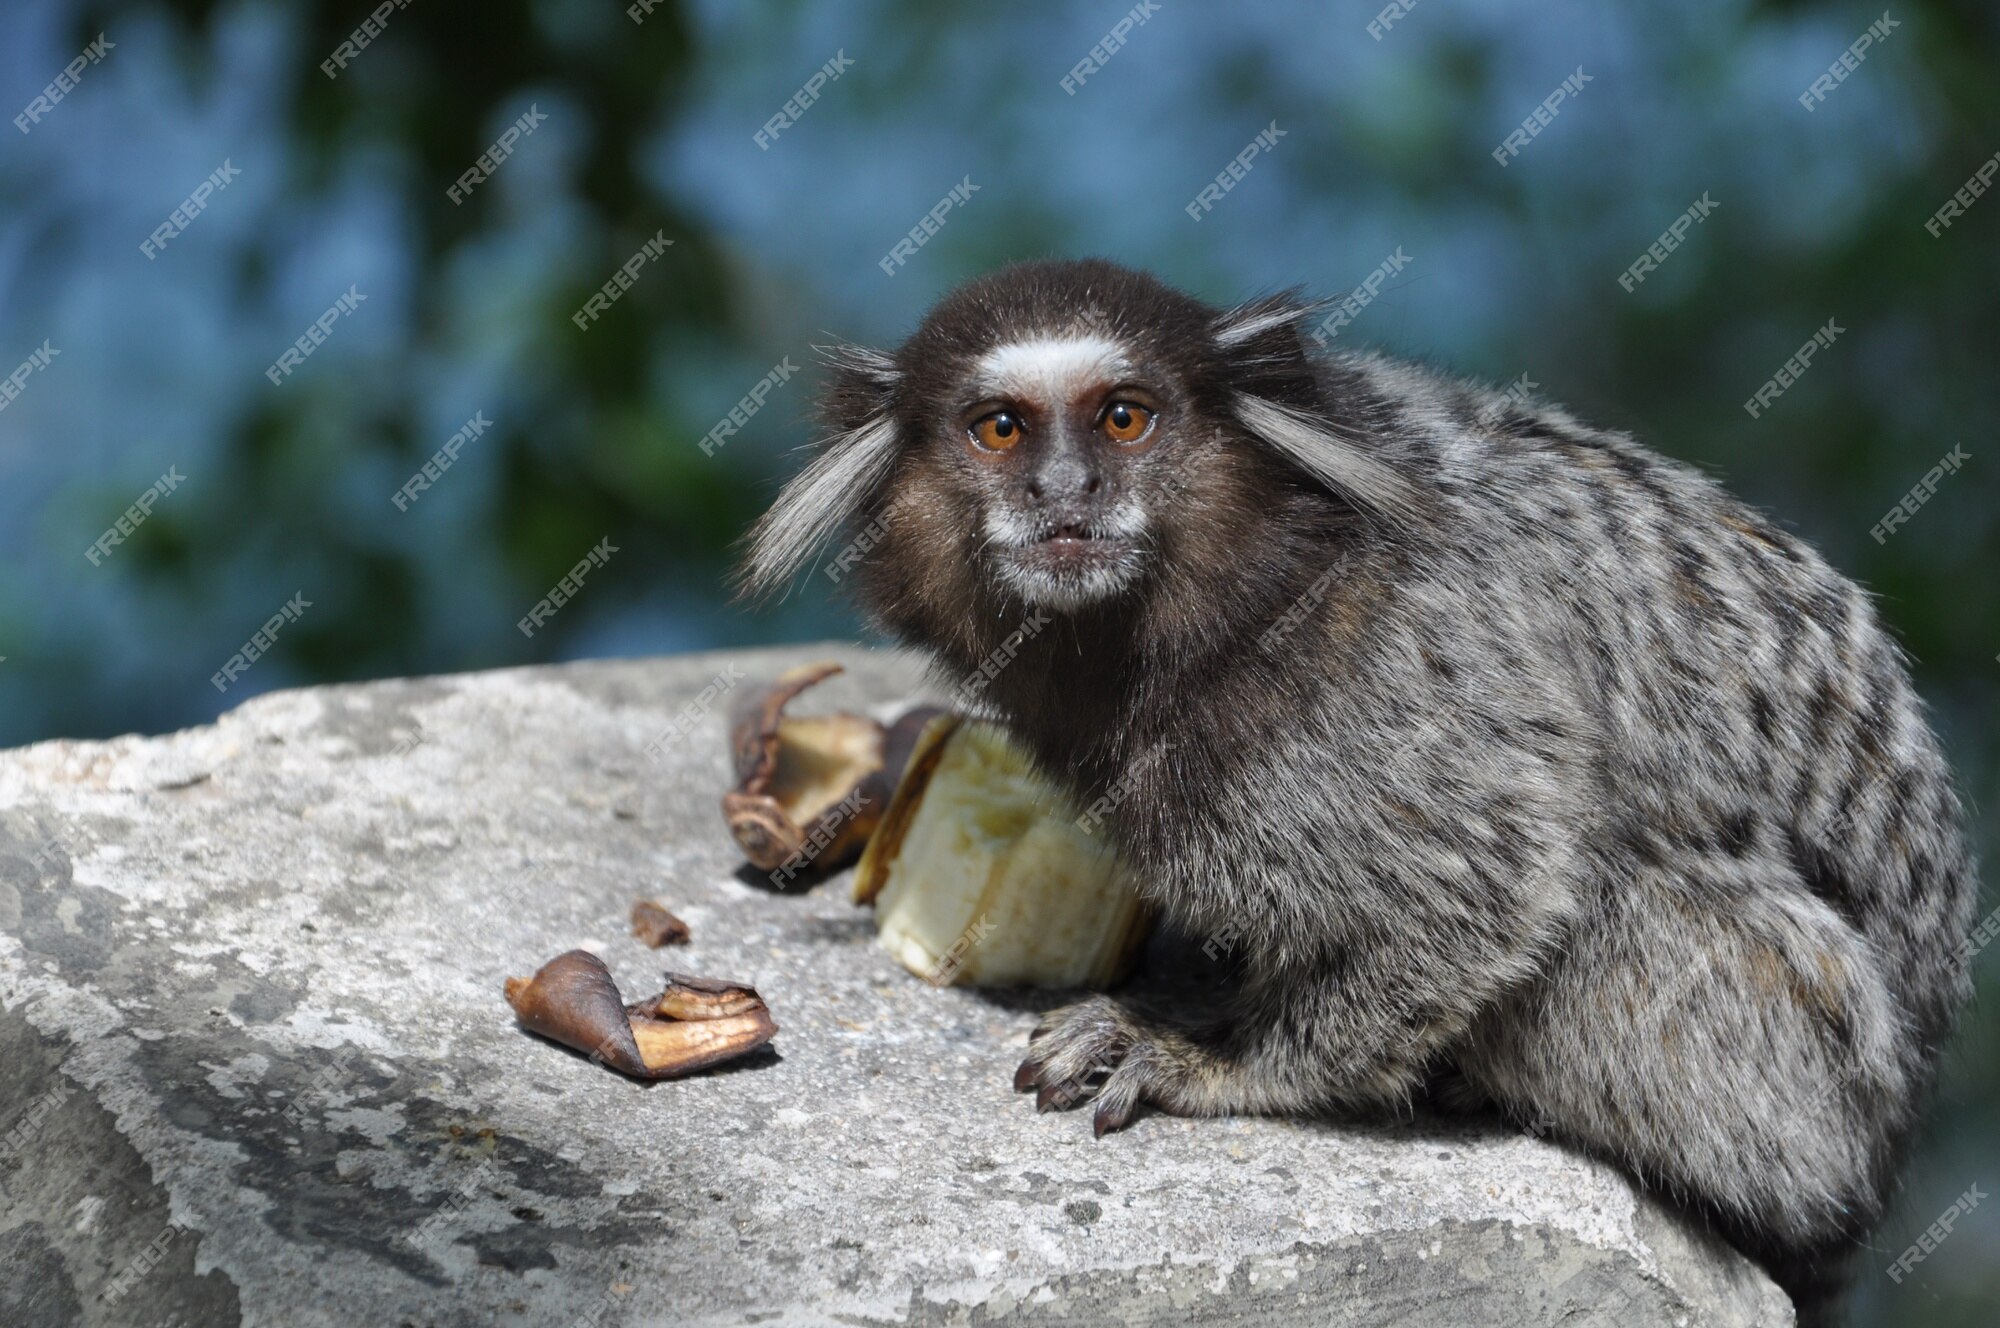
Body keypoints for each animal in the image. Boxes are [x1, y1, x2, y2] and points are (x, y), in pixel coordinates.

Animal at [736, 260, 1968, 1320]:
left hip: (1784, 1060)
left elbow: (1483, 885)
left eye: (1124, 418)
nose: (1064, 490)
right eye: (999, 429)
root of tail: (1890, 1133)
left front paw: (1207, 1054)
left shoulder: (1390, 652)